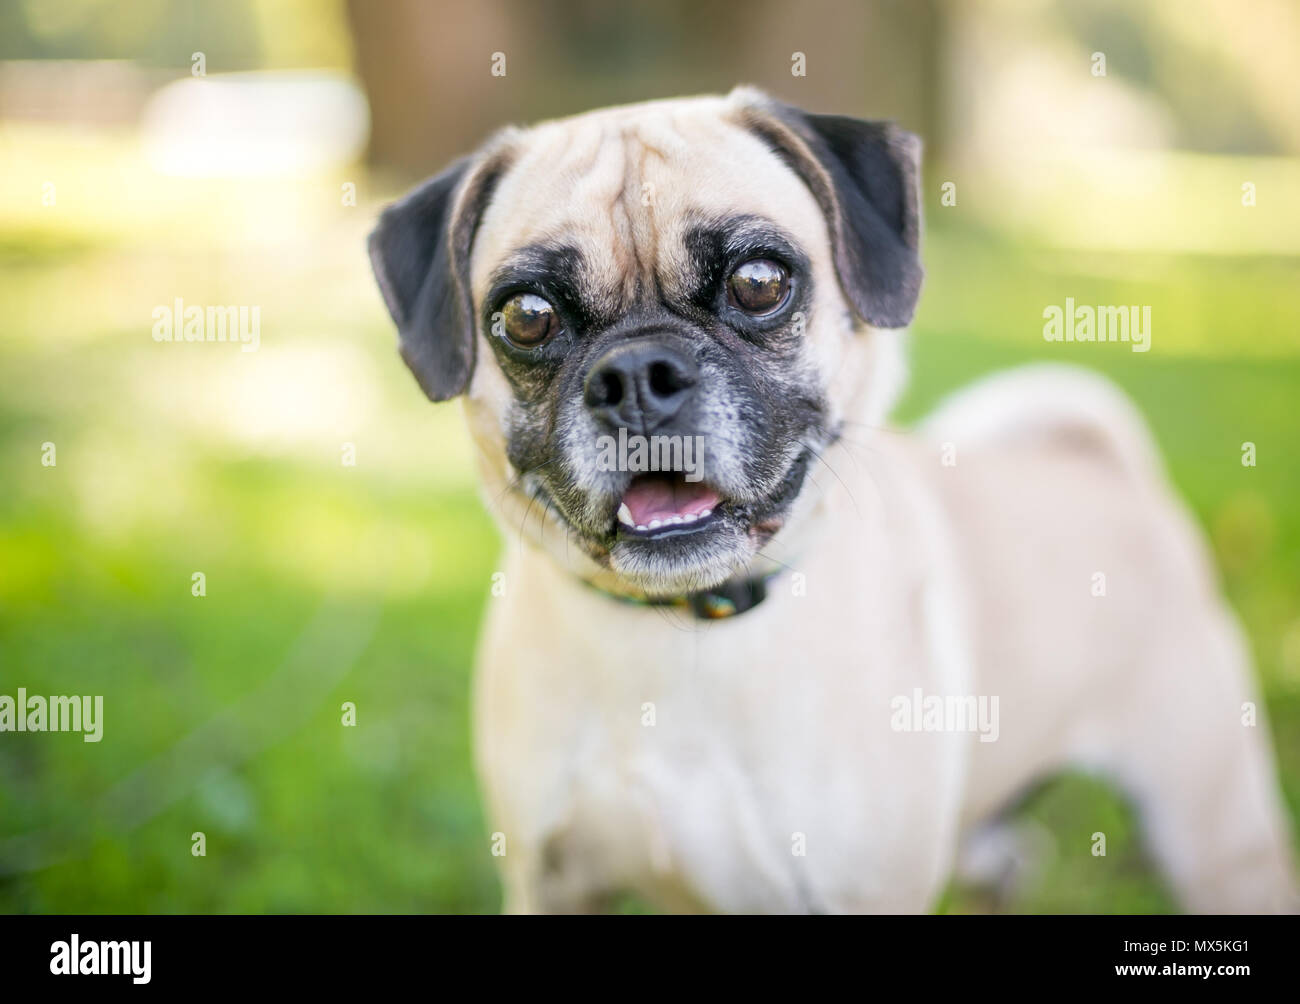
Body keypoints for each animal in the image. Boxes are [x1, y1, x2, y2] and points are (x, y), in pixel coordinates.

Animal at [369, 86, 1300, 915]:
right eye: (526, 316)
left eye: (758, 281)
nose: (637, 374)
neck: (685, 630)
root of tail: (1105, 468)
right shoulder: (551, 884)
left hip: (1215, 836)